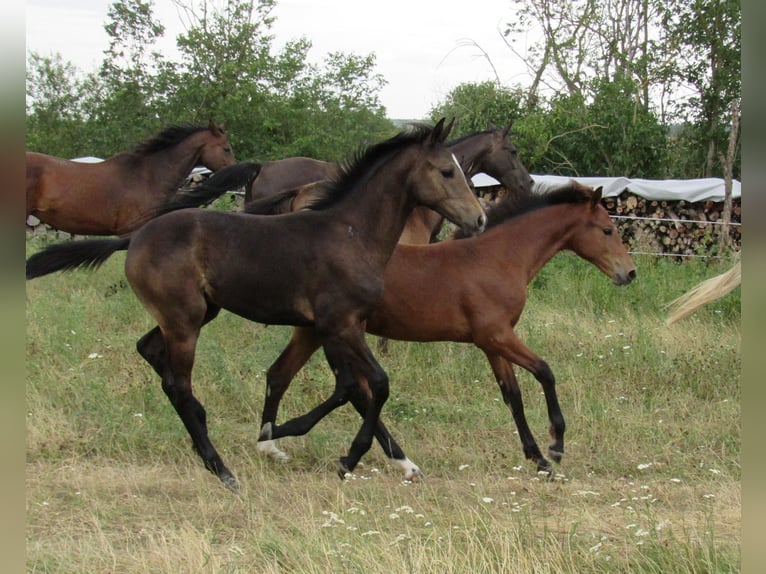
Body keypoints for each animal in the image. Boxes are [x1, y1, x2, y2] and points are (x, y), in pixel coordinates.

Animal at [250, 181, 636, 480]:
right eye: (607, 230)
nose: (629, 273)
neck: (498, 258)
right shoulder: (496, 335)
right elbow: (545, 372)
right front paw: (555, 445)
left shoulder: (493, 343)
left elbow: (512, 396)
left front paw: (538, 459)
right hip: (336, 333)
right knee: (351, 389)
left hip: (315, 332)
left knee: (288, 377)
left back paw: (277, 436)